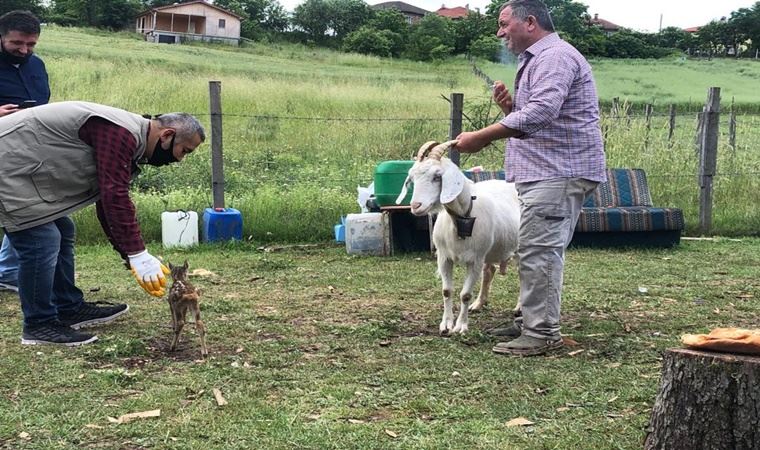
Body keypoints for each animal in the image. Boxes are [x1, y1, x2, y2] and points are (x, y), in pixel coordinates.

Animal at [394, 141, 520, 334]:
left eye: (437, 177)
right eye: (412, 179)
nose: (416, 206)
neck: (461, 219)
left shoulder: (475, 260)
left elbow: (465, 294)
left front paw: (460, 326)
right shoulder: (444, 257)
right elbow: (447, 291)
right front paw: (446, 325)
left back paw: (519, 308)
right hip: (489, 251)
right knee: (489, 270)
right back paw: (479, 304)